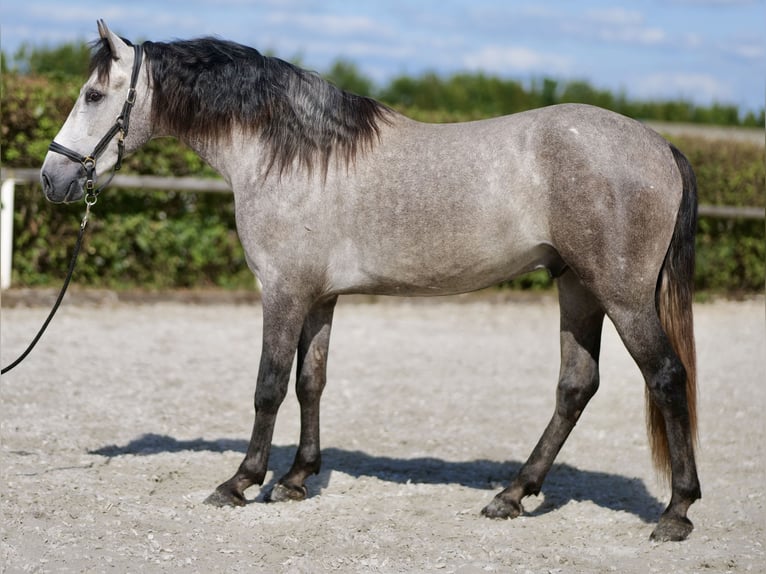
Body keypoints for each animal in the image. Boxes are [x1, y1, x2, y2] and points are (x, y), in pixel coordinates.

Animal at [40, 21, 704, 544]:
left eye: (93, 94)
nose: (52, 178)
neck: (291, 154)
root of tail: (661, 146)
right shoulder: (320, 298)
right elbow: (310, 383)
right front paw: (296, 479)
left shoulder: (282, 293)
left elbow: (268, 387)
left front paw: (241, 482)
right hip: (578, 288)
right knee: (576, 386)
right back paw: (512, 495)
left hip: (619, 294)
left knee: (667, 377)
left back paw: (675, 512)